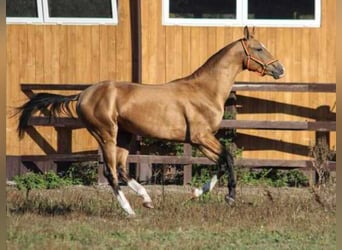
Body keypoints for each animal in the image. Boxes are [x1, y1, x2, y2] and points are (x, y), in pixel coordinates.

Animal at [16, 26, 284, 216]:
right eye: (259, 48)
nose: (280, 70)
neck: (205, 90)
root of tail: (82, 94)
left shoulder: (199, 141)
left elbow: (221, 161)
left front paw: (197, 193)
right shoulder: (201, 137)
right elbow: (228, 157)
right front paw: (229, 197)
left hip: (125, 136)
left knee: (122, 169)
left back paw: (147, 200)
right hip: (106, 134)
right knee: (111, 172)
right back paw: (129, 210)